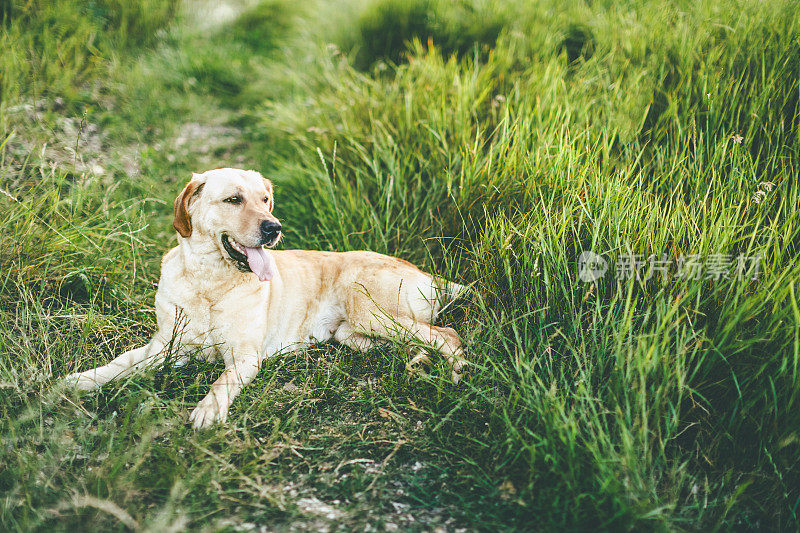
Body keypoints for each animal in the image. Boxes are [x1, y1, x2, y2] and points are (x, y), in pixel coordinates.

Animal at [65, 167, 466, 428]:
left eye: (265, 199)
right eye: (233, 200)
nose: (274, 227)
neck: (209, 282)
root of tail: (430, 275)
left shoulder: (244, 357)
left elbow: (221, 381)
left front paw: (209, 410)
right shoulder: (165, 346)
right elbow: (121, 362)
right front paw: (81, 380)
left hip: (369, 309)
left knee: (448, 336)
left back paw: (456, 373)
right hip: (352, 333)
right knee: (411, 341)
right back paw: (418, 362)